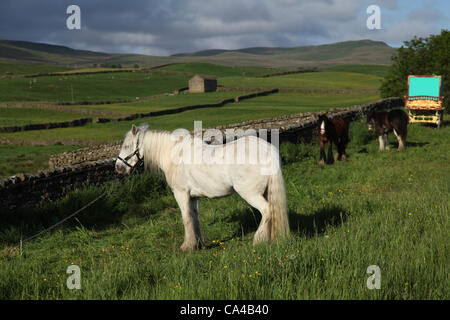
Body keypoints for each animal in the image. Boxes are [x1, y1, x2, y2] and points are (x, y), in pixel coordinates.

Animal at [116, 124, 290, 251]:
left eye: (126, 145)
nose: (117, 167)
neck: (176, 155)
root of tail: (268, 152)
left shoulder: (181, 194)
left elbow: (186, 218)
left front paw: (187, 246)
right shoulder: (193, 197)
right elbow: (195, 218)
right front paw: (199, 244)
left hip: (250, 194)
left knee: (267, 211)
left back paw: (258, 240)